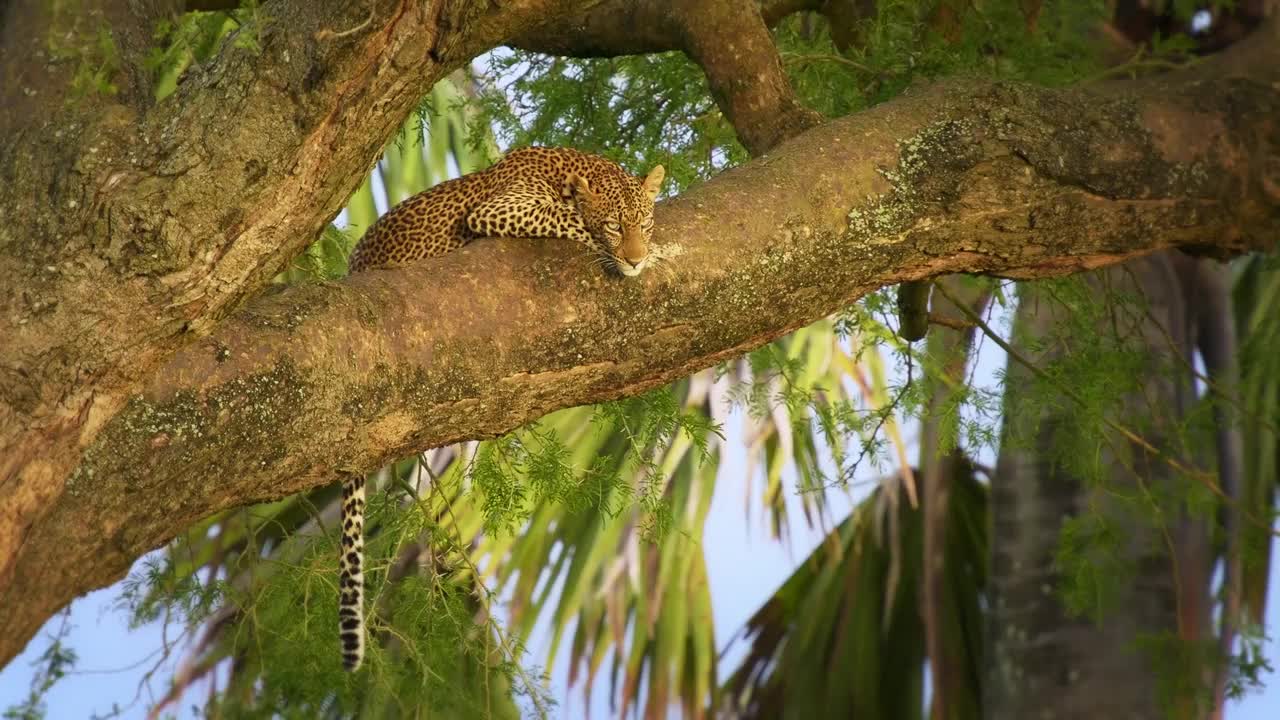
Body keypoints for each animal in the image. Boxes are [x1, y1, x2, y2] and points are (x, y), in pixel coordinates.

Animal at [335, 142, 665, 671]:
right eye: (614, 226)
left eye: (645, 224)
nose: (634, 260)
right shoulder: (498, 208)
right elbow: (565, 218)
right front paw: (596, 234)